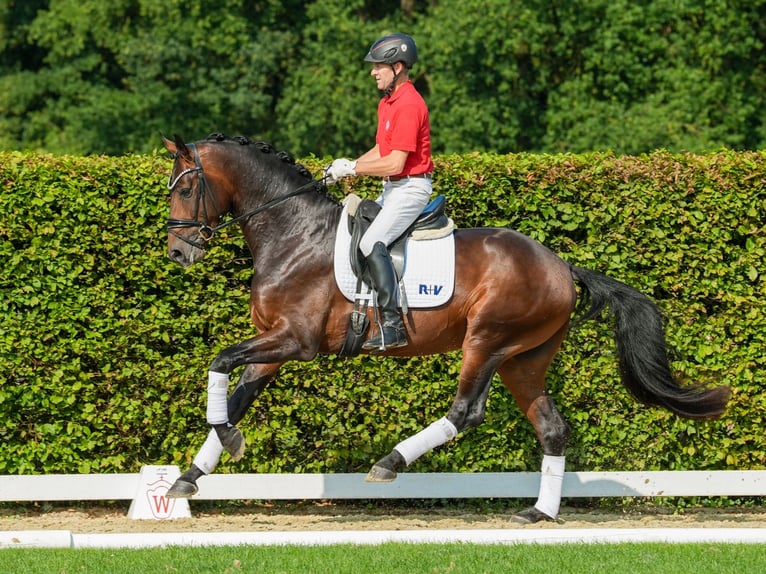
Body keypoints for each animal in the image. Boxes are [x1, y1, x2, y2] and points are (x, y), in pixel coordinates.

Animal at [160, 133, 732, 524]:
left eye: (186, 187)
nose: (178, 254)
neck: (292, 232)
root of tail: (561, 265)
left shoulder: (295, 342)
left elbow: (218, 362)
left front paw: (222, 446)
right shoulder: (275, 346)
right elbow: (235, 395)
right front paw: (188, 477)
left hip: (488, 339)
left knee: (466, 411)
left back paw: (389, 463)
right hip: (524, 359)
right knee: (551, 427)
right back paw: (539, 513)